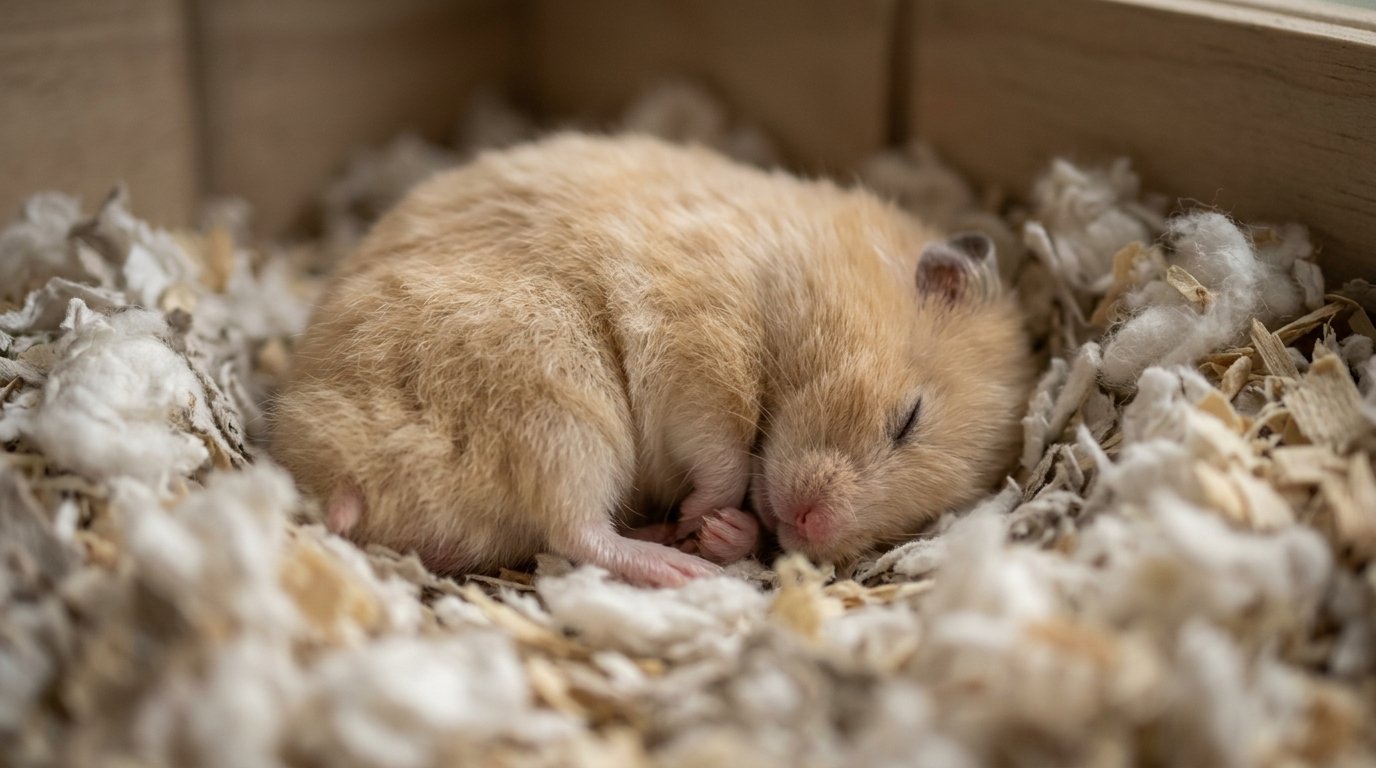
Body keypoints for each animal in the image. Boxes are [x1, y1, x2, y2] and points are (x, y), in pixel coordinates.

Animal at [272, 133, 1033, 587]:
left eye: (919, 520)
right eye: (908, 418)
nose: (812, 528)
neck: (783, 278)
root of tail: (342, 475)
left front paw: (727, 529)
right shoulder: (696, 345)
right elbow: (722, 452)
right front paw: (708, 512)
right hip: (560, 404)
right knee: (574, 529)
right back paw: (678, 565)